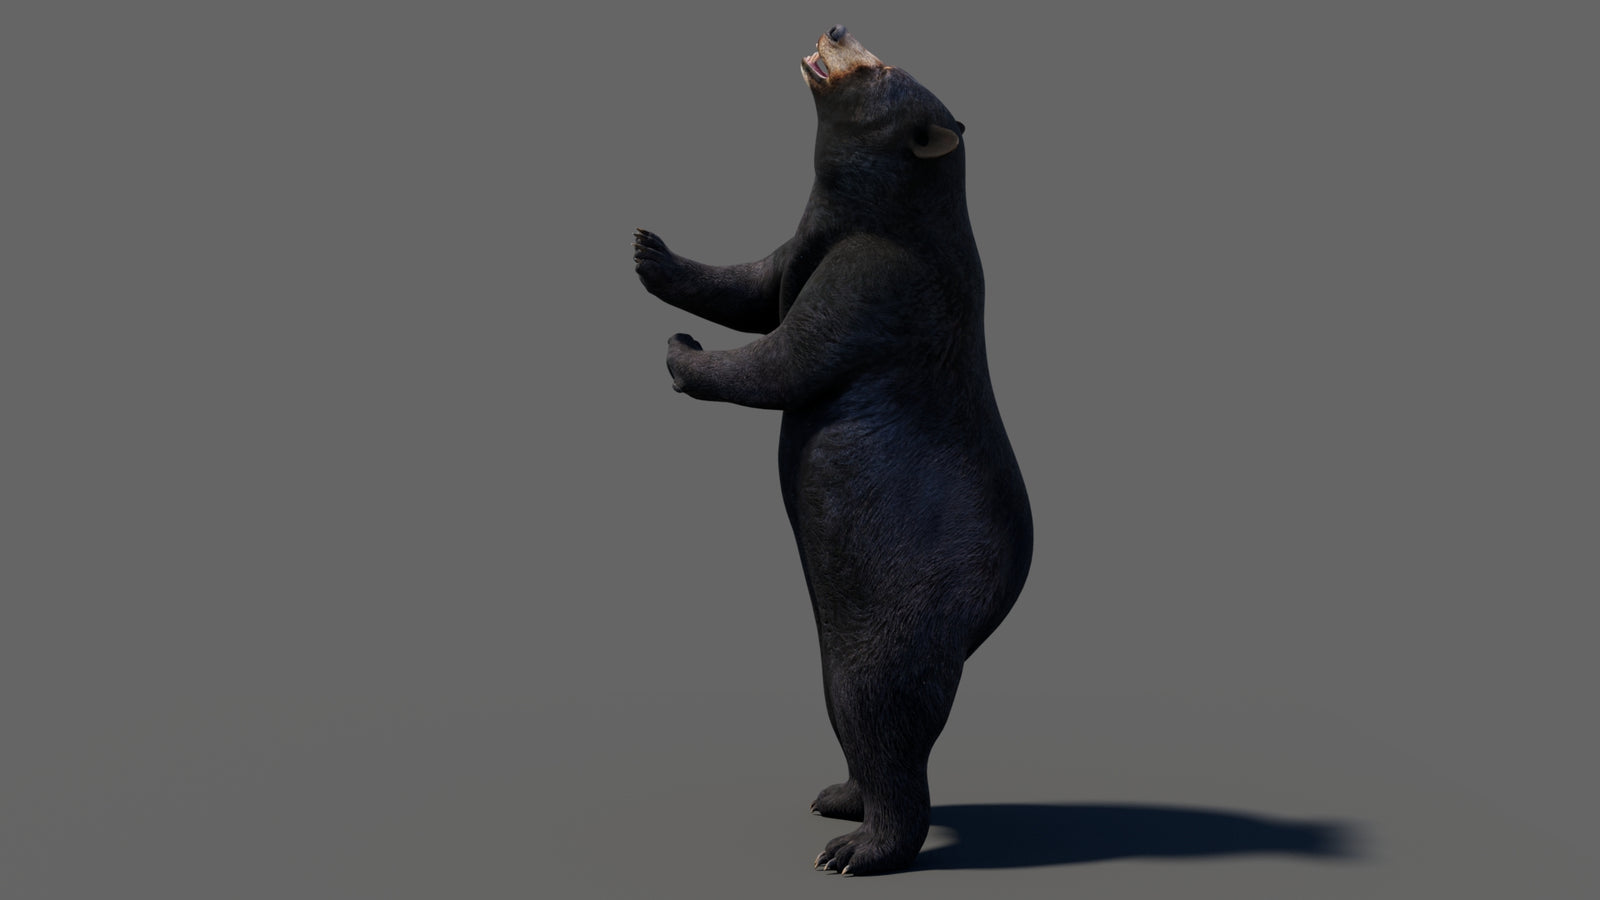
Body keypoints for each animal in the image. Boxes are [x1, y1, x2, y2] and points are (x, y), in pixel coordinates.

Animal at [632, 25, 1032, 875]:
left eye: (881, 70)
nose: (839, 28)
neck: (873, 212)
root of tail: (986, 615)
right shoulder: (806, 244)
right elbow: (752, 284)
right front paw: (650, 250)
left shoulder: (877, 275)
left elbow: (788, 355)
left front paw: (682, 352)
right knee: (856, 720)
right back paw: (838, 796)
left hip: (898, 616)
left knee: (882, 713)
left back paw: (858, 848)